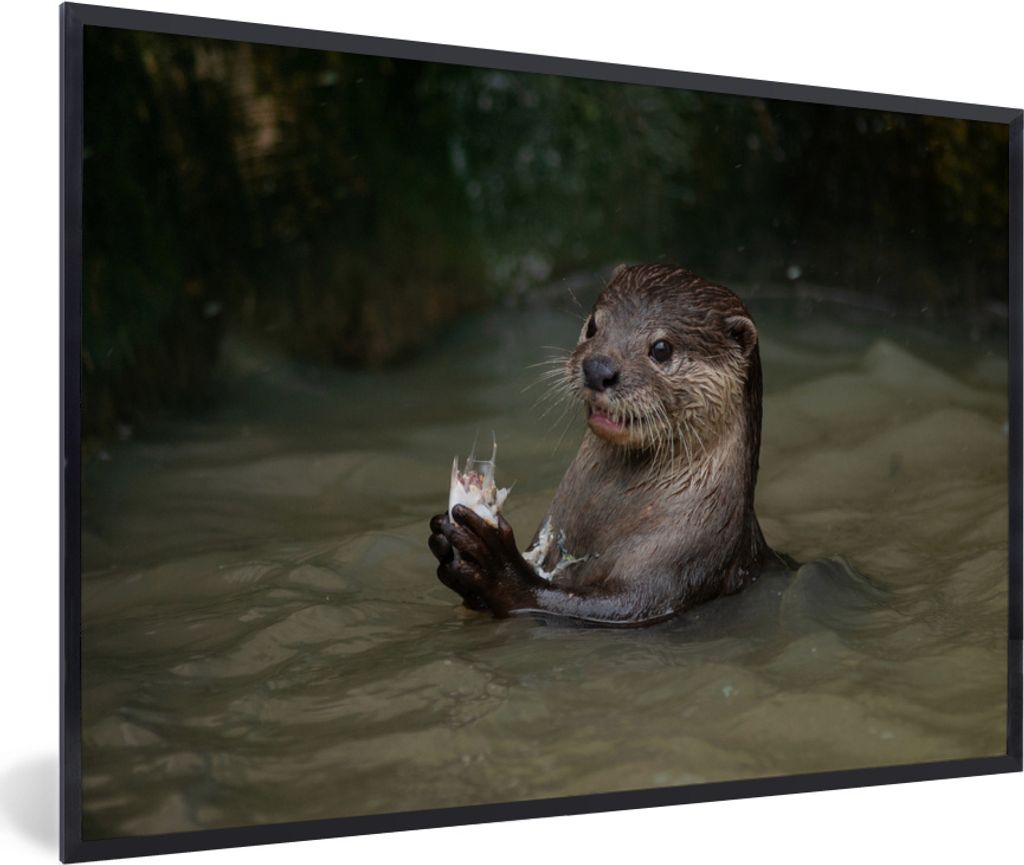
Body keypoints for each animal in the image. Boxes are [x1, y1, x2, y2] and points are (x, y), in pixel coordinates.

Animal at [428, 263, 784, 626]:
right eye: (594, 326)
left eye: (661, 348)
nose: (598, 368)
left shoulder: (684, 559)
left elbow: (608, 605)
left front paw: (498, 568)